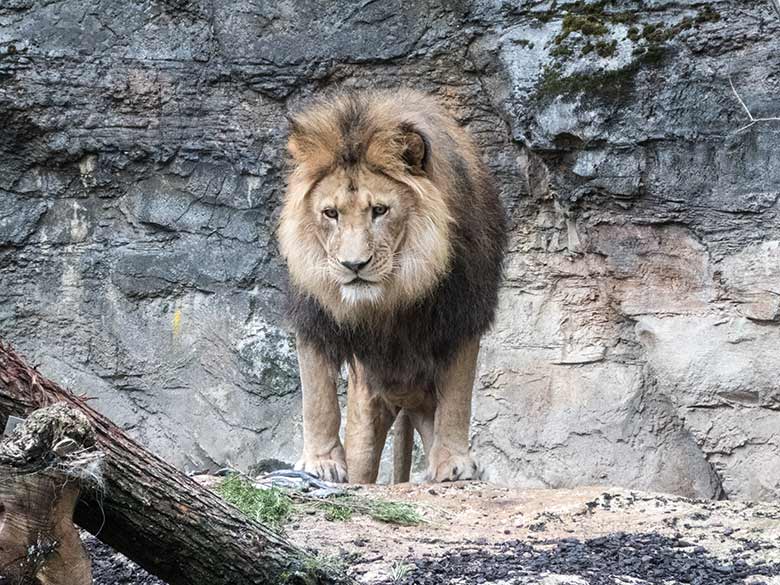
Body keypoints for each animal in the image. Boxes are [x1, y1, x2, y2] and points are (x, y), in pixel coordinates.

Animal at [278, 88, 506, 484]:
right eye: (330, 213)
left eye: (380, 210)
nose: (354, 266)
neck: (396, 291)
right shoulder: (314, 314)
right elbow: (317, 394)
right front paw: (321, 462)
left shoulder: (462, 315)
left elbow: (458, 397)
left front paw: (454, 463)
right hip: (368, 406)